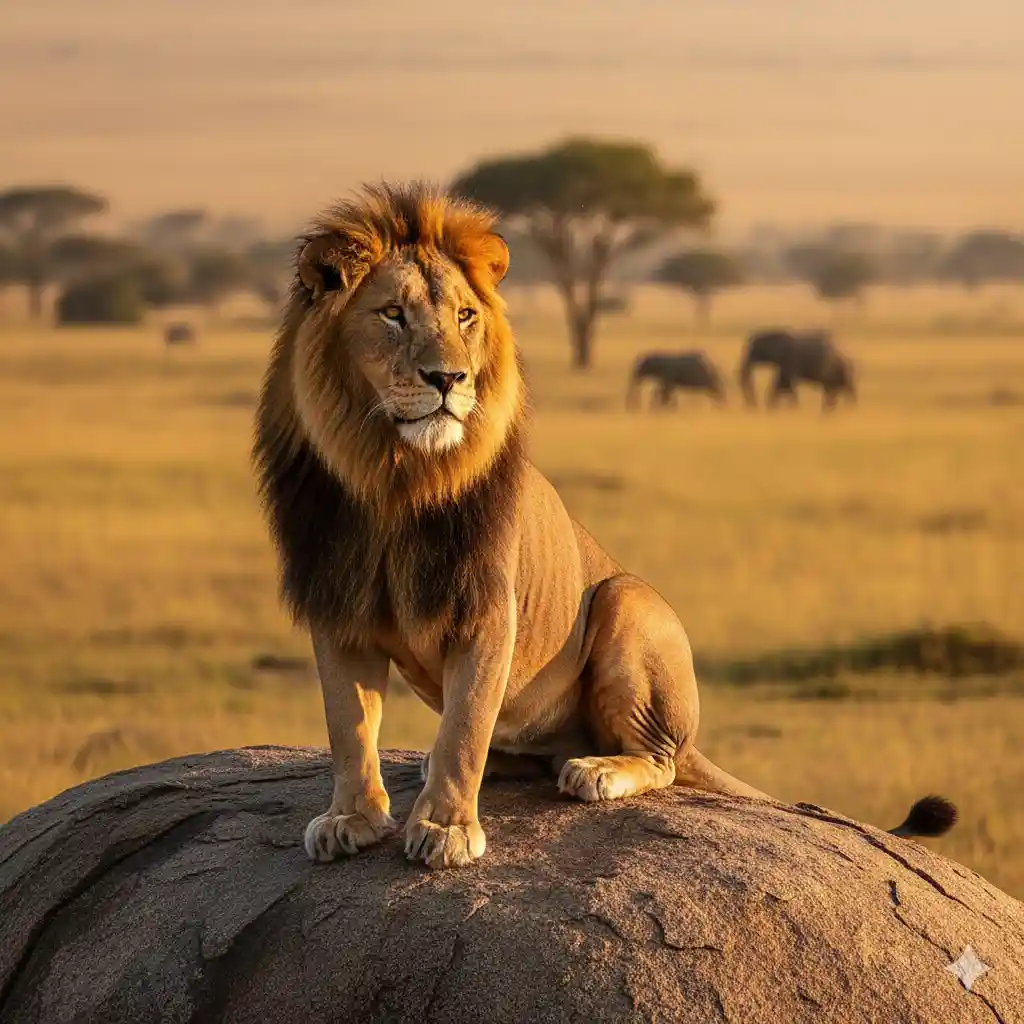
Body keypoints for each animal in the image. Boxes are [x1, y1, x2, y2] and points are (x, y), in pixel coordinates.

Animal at [253, 183, 956, 870]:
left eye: (464, 317)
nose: (449, 378)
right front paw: (350, 818)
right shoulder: (336, 602)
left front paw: (447, 829)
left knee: (660, 758)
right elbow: (349, 724)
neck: (394, 477)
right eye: (393, 315)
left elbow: (463, 728)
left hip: (626, 601)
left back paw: (595, 770)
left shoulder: (487, 609)